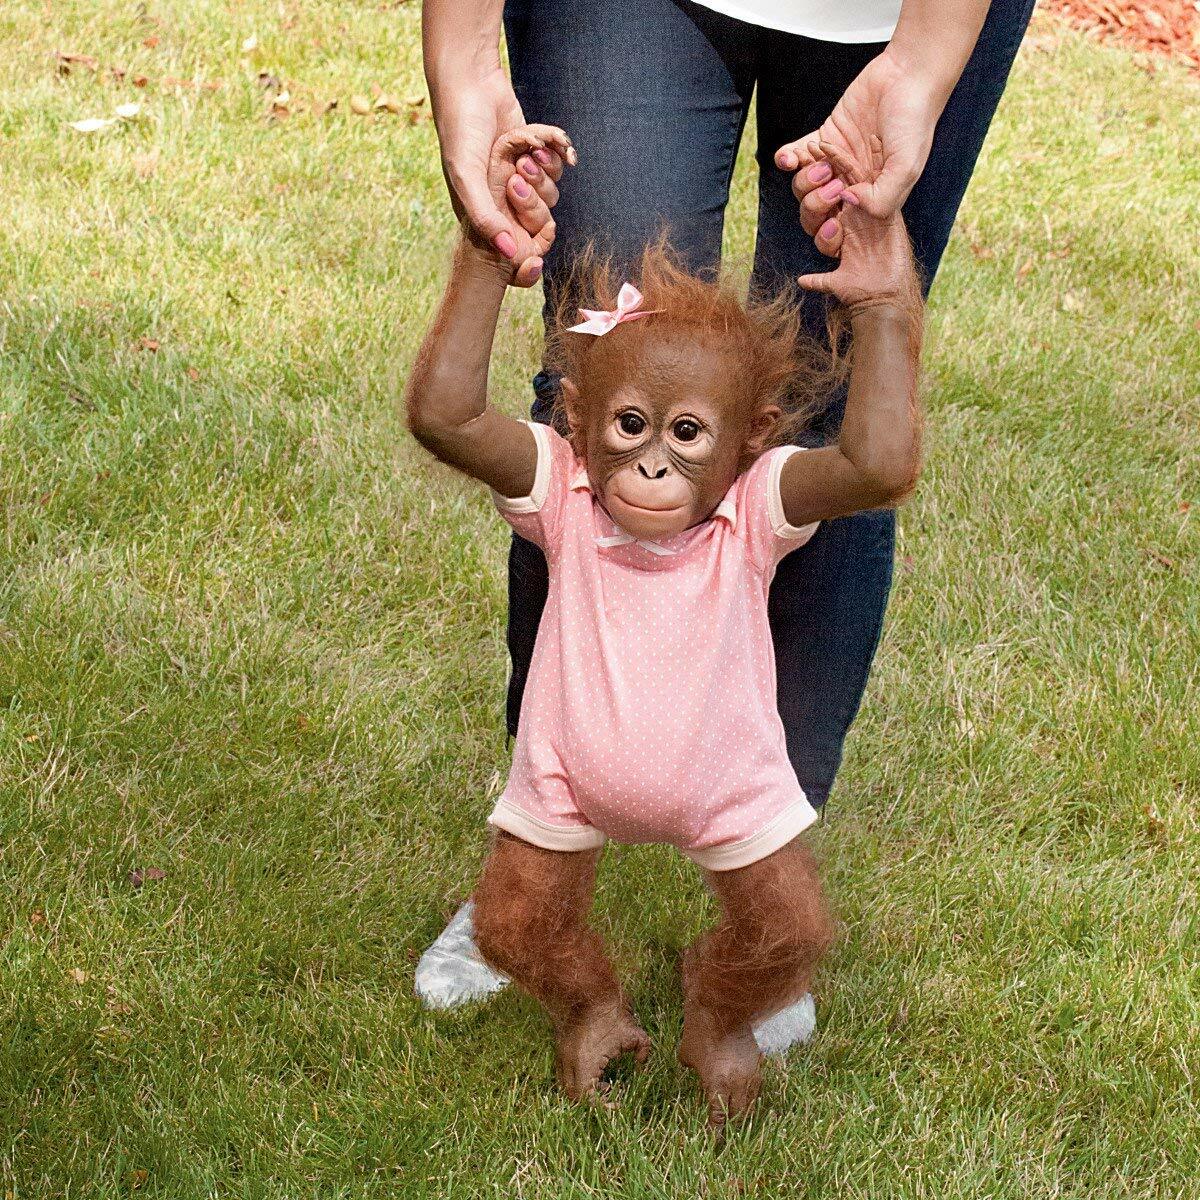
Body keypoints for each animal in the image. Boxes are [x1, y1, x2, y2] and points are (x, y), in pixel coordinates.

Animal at [405, 123, 923, 1127]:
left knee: (779, 926)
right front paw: (508, 200)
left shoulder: (776, 497)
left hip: (749, 818)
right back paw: (600, 1033)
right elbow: (449, 415)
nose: (648, 472)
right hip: (550, 812)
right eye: (628, 423)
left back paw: (716, 1041)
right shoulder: (544, 479)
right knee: (526, 916)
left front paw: (871, 252)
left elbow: (873, 463)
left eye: (687, 433)